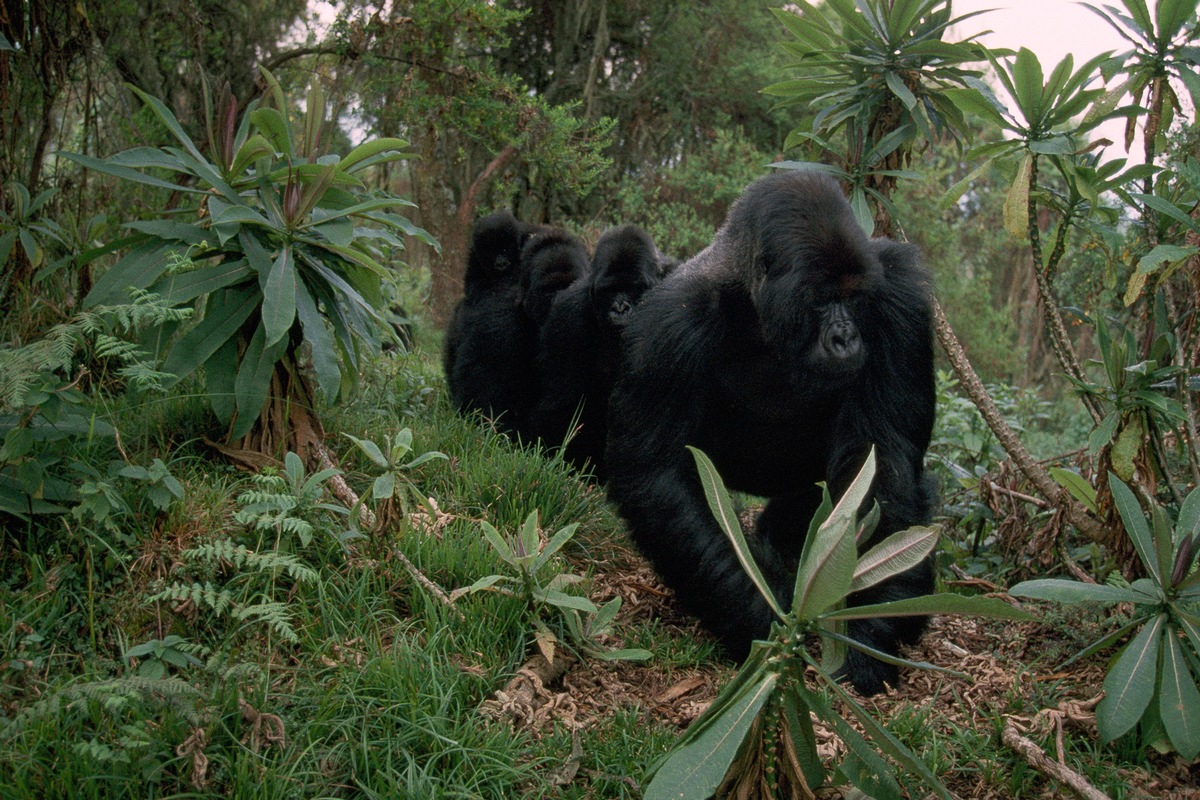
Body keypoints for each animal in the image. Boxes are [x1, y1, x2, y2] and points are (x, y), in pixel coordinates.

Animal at [609, 170, 936, 695]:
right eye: (821, 300)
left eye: (854, 297)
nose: (845, 338)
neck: (756, 305)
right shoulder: (667, 325)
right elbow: (659, 476)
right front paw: (762, 617)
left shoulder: (900, 294)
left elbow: (883, 456)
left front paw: (868, 631)